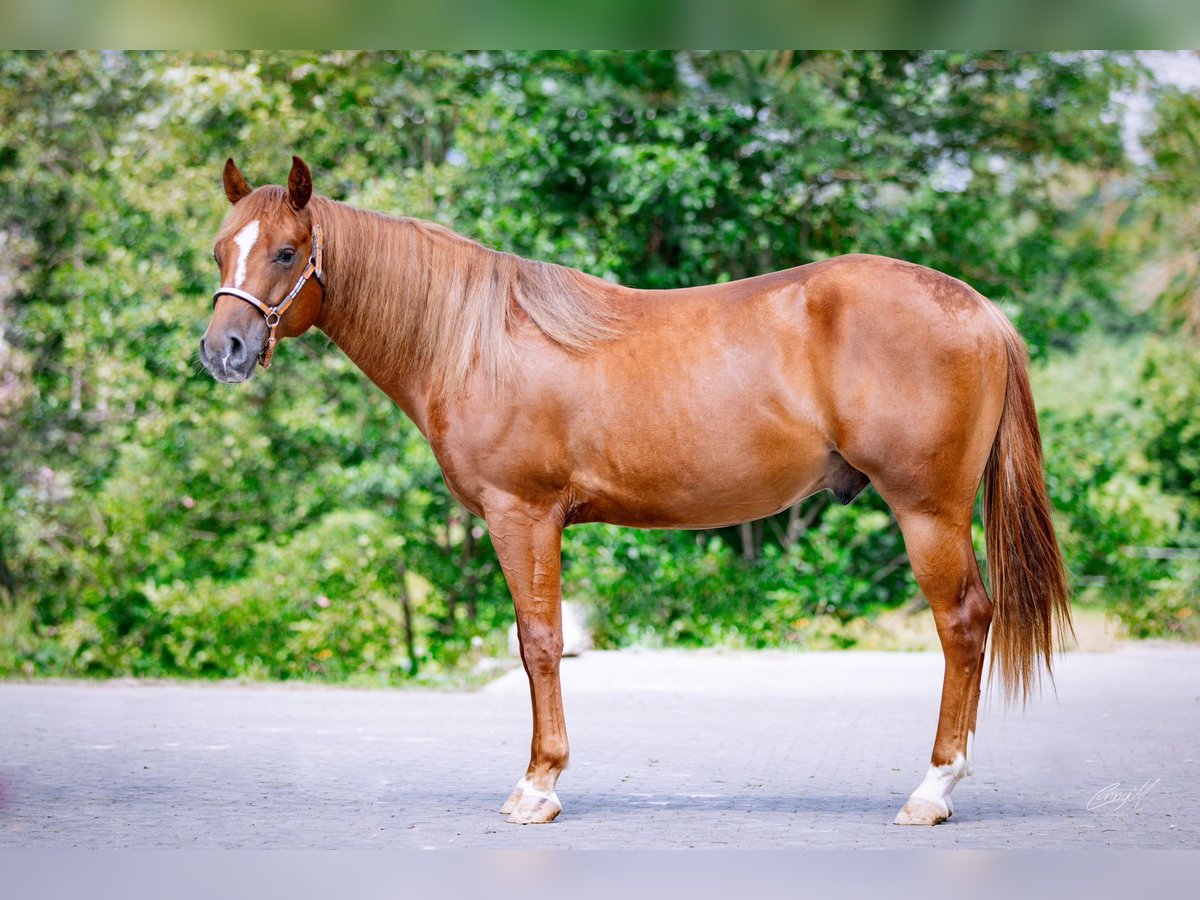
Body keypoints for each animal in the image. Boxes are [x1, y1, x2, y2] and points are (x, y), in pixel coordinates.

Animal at [196, 157, 1070, 830]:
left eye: (286, 251)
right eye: (218, 252)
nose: (222, 350)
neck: (475, 340)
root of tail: (980, 309)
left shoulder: (523, 515)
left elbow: (539, 644)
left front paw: (538, 787)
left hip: (928, 512)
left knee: (964, 623)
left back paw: (933, 789)